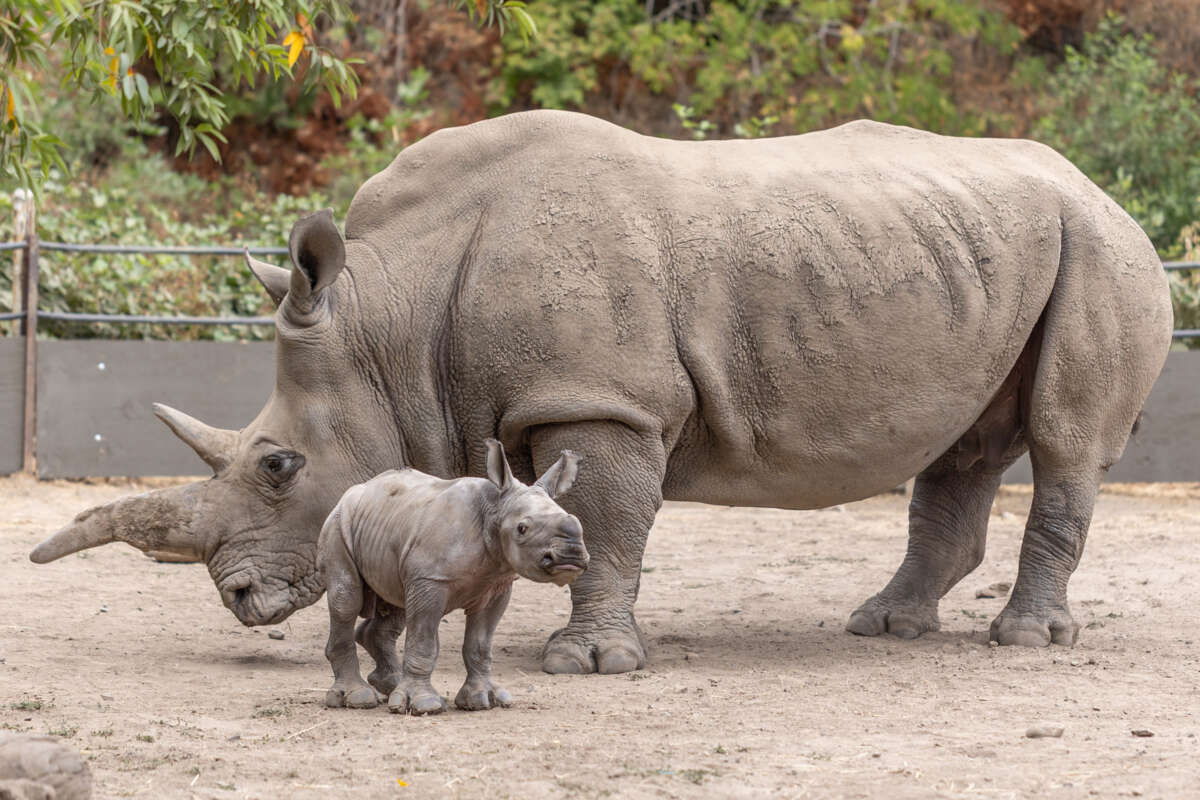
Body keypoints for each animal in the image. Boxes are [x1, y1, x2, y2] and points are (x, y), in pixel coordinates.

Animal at [30, 110, 1172, 674]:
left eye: (278, 465)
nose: (239, 600)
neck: (390, 319)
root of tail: (1104, 189)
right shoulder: (531, 398)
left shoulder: (602, 396)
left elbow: (613, 522)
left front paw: (587, 662)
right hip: (984, 251)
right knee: (962, 446)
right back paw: (883, 629)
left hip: (1105, 251)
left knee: (1065, 440)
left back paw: (1022, 643)